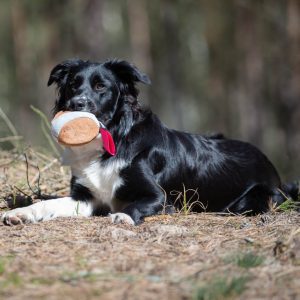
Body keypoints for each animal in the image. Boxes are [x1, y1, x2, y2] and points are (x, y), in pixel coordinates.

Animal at [1, 58, 298, 225]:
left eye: (101, 86)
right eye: (73, 84)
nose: (77, 103)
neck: (115, 139)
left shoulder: (160, 197)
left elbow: (135, 205)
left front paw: (123, 216)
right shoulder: (85, 197)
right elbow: (49, 204)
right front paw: (22, 213)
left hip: (253, 199)